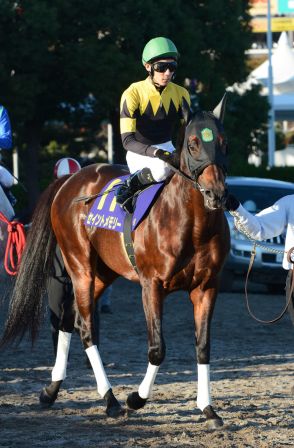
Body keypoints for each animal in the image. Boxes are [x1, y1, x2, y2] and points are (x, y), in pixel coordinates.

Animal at [1, 97, 231, 428]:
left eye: (224, 143)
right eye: (193, 143)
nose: (217, 194)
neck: (193, 224)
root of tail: (69, 180)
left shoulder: (206, 287)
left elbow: (203, 347)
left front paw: (208, 409)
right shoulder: (151, 285)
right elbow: (157, 349)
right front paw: (136, 398)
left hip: (102, 273)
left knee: (70, 319)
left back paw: (51, 390)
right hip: (80, 267)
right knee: (85, 328)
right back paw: (110, 399)